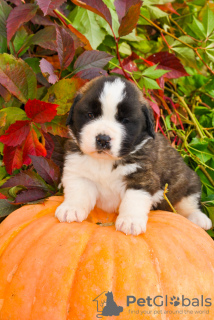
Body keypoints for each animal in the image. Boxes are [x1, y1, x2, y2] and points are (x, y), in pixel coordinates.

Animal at [54, 75, 211, 235]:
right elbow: (78, 191)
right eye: (90, 115)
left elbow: (133, 200)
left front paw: (130, 221)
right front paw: (71, 209)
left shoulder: (142, 178)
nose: (103, 139)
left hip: (188, 181)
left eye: (125, 120)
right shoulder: (77, 171)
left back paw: (199, 219)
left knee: (188, 203)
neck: (105, 161)